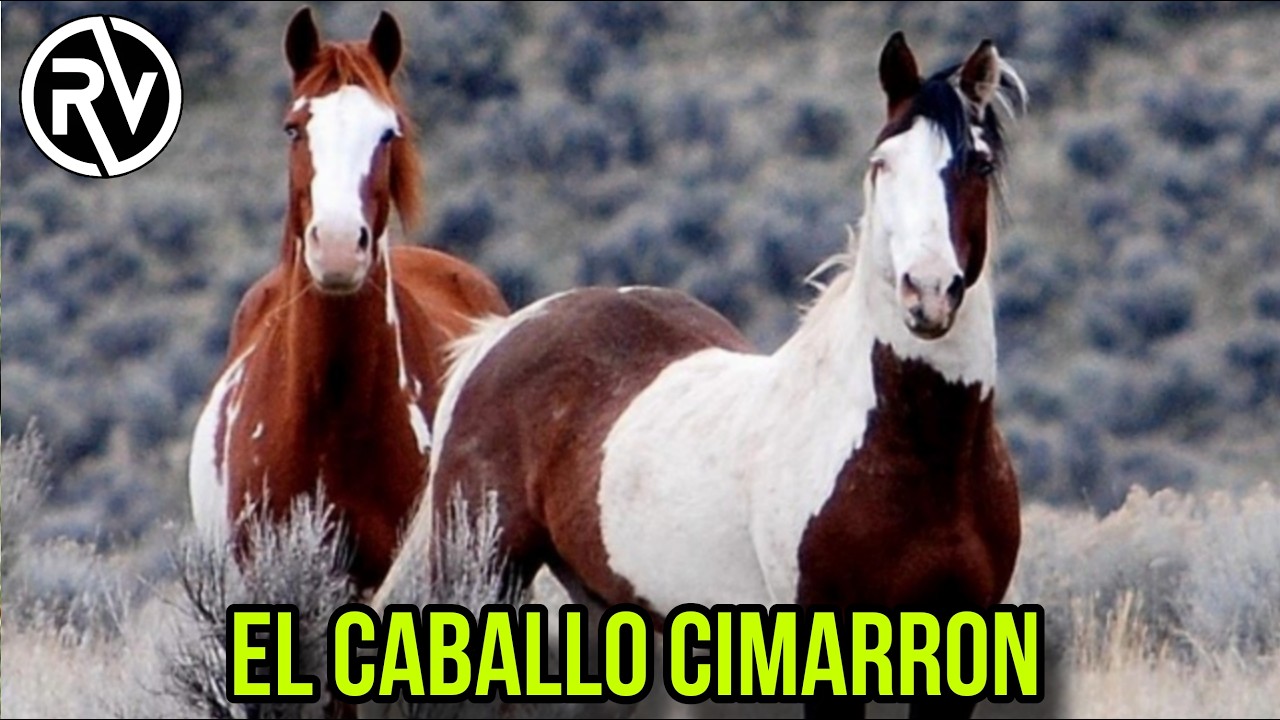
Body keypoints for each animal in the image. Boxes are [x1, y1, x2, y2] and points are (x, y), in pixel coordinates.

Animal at [377, 31, 1026, 719]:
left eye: (979, 165)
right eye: (882, 164)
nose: (926, 293)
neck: (922, 454)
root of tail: (502, 335)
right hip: (480, 574)